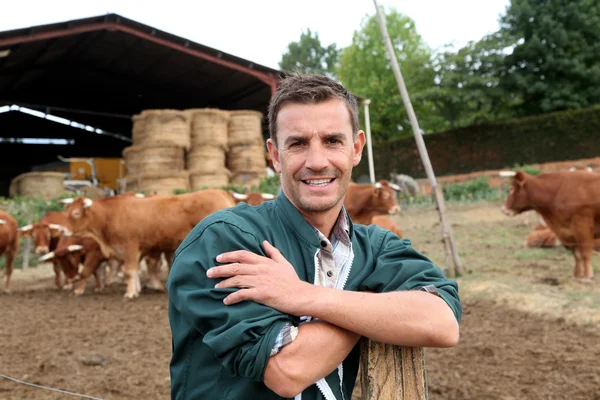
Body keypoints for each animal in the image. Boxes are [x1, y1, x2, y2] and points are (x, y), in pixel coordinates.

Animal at [63, 188, 237, 296]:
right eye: (67, 211)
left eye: (76, 213)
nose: (63, 230)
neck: (111, 215)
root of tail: (220, 192)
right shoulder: (139, 248)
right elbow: (136, 270)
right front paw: (136, 289)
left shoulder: (130, 246)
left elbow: (129, 271)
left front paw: (130, 292)